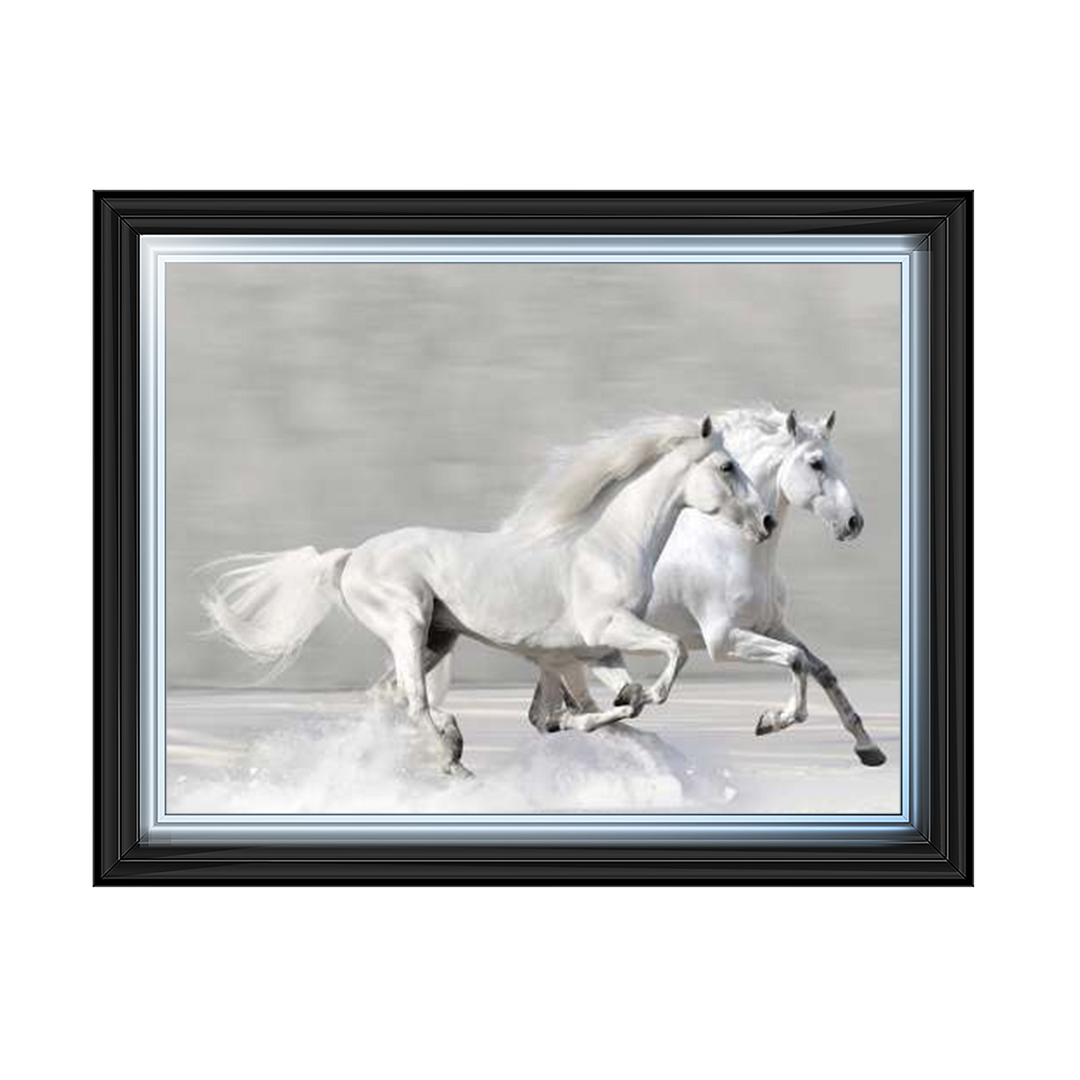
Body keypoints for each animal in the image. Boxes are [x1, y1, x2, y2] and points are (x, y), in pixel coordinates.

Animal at [200, 415, 773, 775]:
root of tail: (350, 558)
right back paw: (453, 756)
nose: (766, 521)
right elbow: (668, 657)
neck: (607, 544)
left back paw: (446, 750)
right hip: (408, 624)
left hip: (438, 638)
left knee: (390, 698)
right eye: (726, 466)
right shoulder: (606, 631)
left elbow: (597, 707)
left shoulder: (597, 651)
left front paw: (619, 708)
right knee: (413, 701)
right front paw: (640, 698)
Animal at [498, 406, 887, 767]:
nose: (853, 522)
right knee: (555, 713)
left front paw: (868, 748)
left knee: (546, 714)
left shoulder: (771, 626)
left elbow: (820, 669)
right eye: (816, 463)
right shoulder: (723, 640)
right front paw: (771, 721)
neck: (731, 547)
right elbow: (795, 660)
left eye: (839, 461)